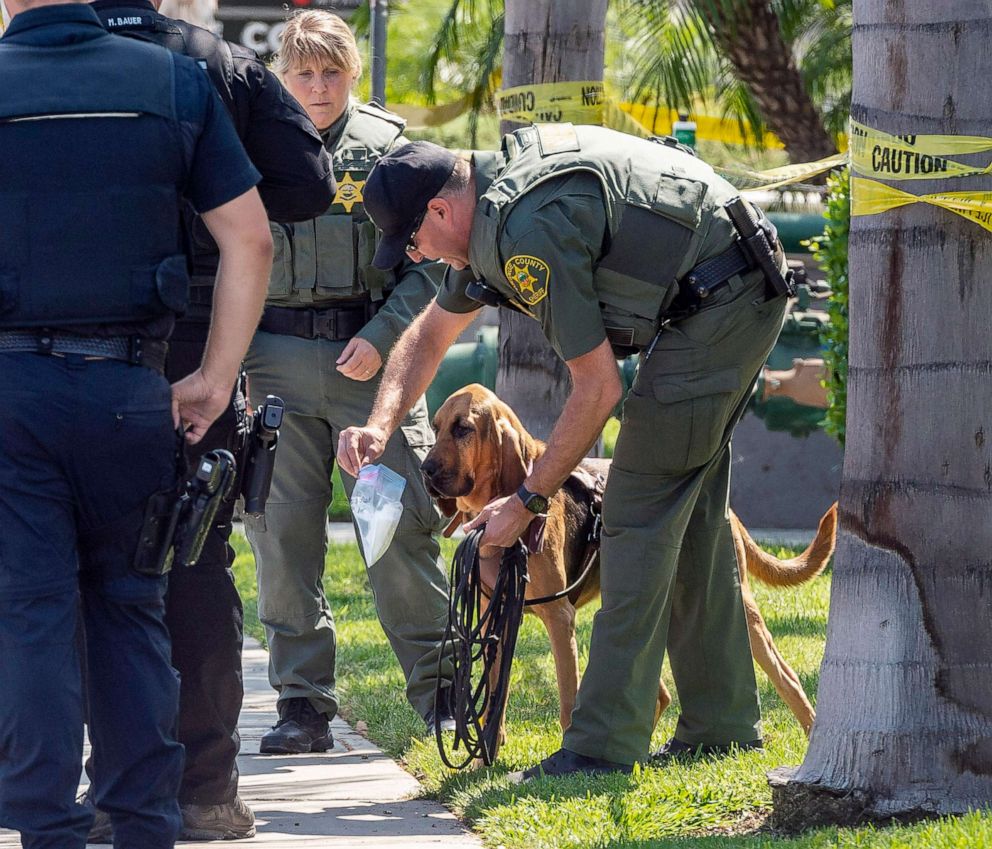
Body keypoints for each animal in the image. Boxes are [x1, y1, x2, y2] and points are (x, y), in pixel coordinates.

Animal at [420, 384, 836, 744]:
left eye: (463, 429)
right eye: (436, 428)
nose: (424, 471)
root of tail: (727, 511)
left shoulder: (558, 618)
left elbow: (568, 701)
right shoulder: (494, 615)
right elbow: (494, 699)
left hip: (741, 612)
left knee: (787, 677)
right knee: (661, 694)